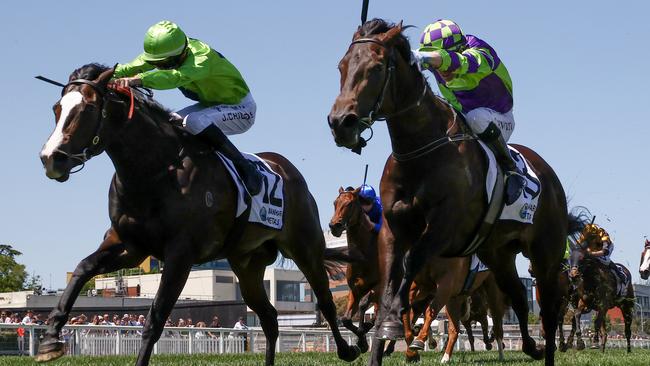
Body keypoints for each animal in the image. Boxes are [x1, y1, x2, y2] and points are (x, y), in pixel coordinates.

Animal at [36, 64, 360, 364]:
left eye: (86, 109)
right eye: (56, 109)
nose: (51, 158)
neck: (154, 170)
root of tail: (287, 169)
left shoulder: (181, 253)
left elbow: (155, 318)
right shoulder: (130, 245)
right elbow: (82, 268)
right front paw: (50, 339)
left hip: (304, 246)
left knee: (325, 300)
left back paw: (350, 348)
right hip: (247, 263)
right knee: (269, 317)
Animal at [326, 20, 564, 366]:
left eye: (376, 67)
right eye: (342, 66)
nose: (341, 123)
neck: (421, 151)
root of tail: (547, 173)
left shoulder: (446, 228)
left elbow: (411, 264)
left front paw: (397, 326)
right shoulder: (393, 229)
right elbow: (388, 284)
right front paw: (379, 335)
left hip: (545, 252)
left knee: (547, 310)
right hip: (498, 254)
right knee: (519, 297)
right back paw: (532, 346)